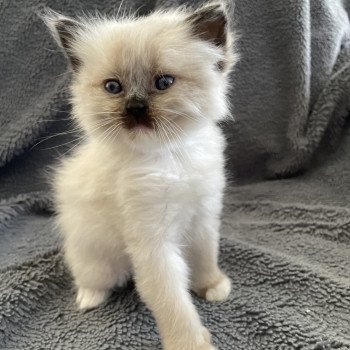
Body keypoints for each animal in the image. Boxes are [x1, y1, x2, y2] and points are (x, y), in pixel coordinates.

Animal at [43, 3, 235, 350]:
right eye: (113, 87)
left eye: (164, 82)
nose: (134, 107)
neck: (171, 157)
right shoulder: (153, 245)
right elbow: (175, 305)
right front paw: (192, 344)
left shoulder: (203, 218)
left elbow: (205, 257)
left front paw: (212, 286)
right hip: (99, 261)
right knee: (89, 278)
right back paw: (89, 300)